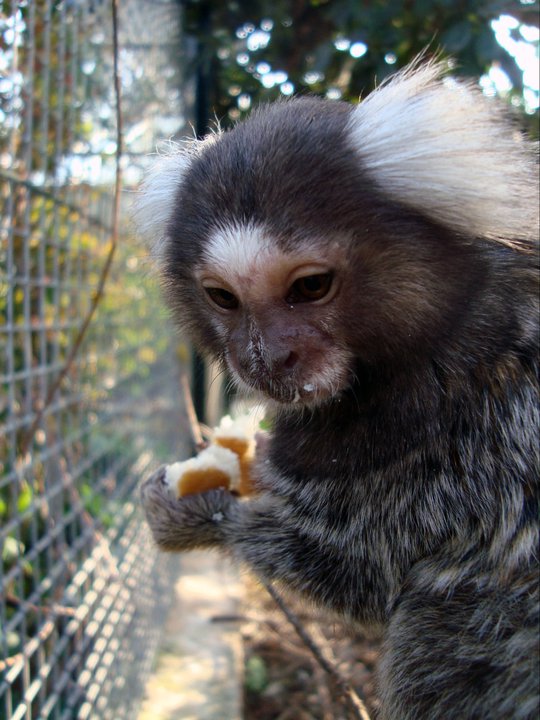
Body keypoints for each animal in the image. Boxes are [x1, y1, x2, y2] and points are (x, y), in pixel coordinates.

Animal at [134, 63, 536, 720]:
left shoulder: (483, 440)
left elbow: (361, 571)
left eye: (310, 286)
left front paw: (197, 514)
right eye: (223, 298)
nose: (264, 360)